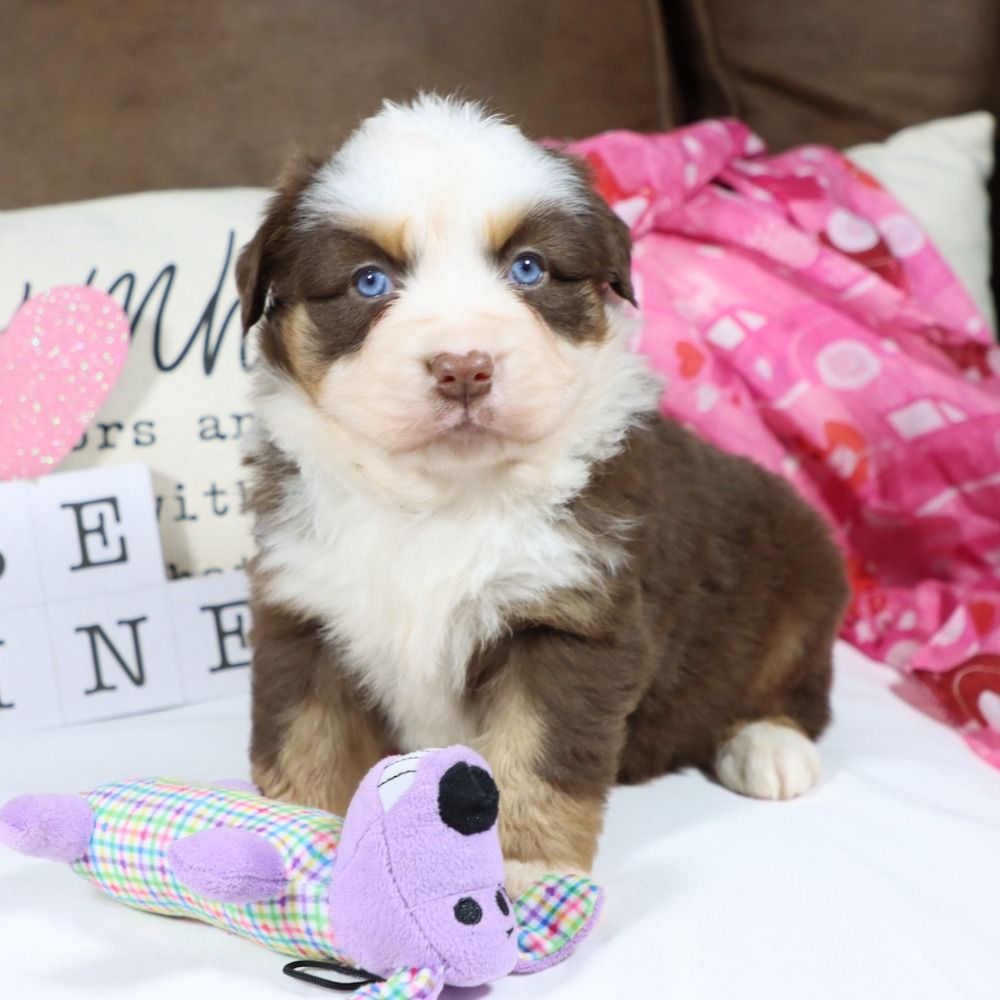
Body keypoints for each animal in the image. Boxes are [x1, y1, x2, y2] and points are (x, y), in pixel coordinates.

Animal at [238, 94, 848, 892]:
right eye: (369, 281)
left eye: (528, 268)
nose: (463, 368)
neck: (442, 498)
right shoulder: (304, 609)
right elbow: (307, 740)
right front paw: (289, 844)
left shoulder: (571, 621)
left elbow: (536, 755)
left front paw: (528, 870)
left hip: (805, 572)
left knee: (799, 686)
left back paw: (770, 748)